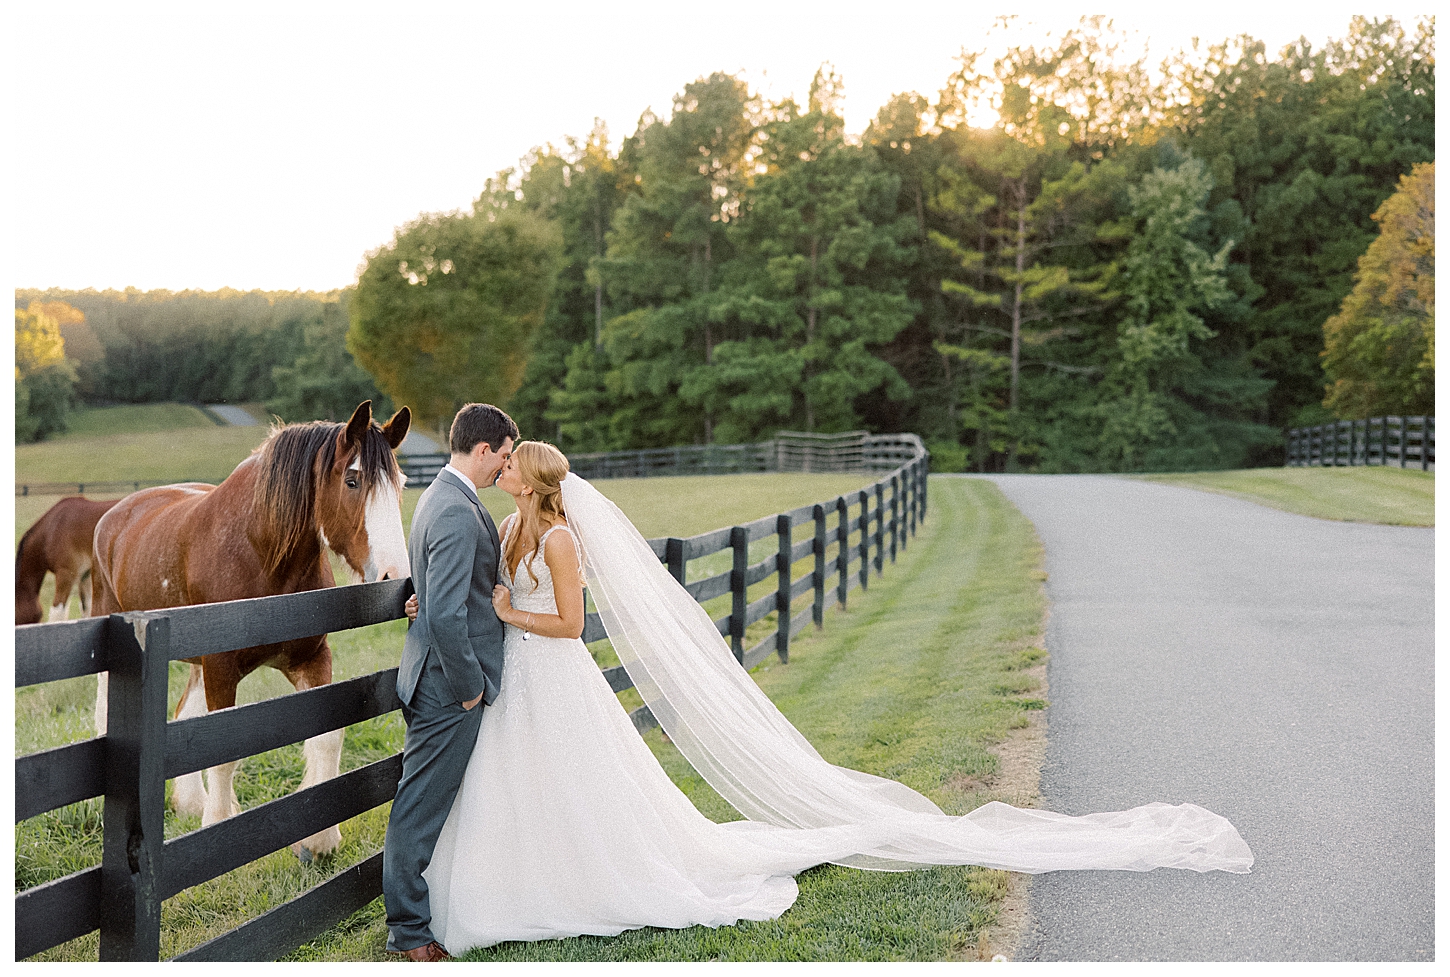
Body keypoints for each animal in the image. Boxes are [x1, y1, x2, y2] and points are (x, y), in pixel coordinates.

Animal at [91, 400, 411, 858]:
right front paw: (217, 830)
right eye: (353, 481)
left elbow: (327, 737)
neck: (261, 554)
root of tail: (117, 512)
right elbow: (223, 752)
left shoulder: (311, 660)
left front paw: (319, 839)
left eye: (400, 484)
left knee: (184, 713)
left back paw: (192, 802)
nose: (395, 575)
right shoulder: (221, 668)